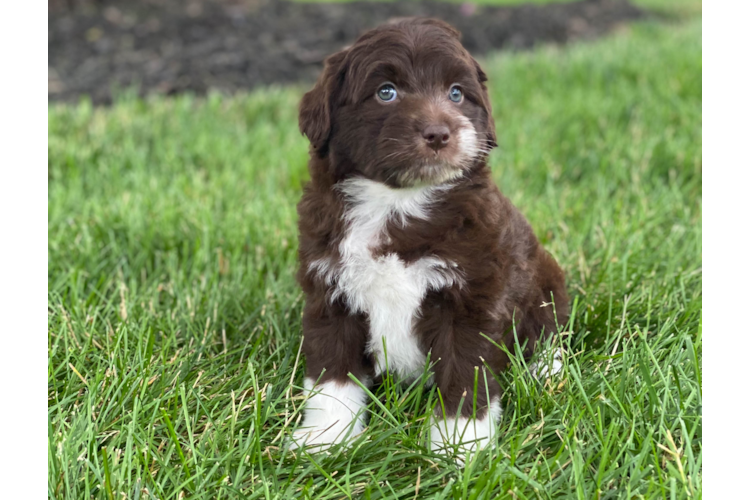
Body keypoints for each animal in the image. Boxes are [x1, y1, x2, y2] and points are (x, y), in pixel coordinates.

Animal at [290, 18, 568, 458]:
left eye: (456, 93)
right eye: (386, 92)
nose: (439, 133)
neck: (397, 203)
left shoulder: (472, 298)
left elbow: (465, 371)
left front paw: (461, 444)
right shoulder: (330, 291)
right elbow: (331, 375)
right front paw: (326, 438)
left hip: (546, 280)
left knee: (548, 332)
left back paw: (546, 374)